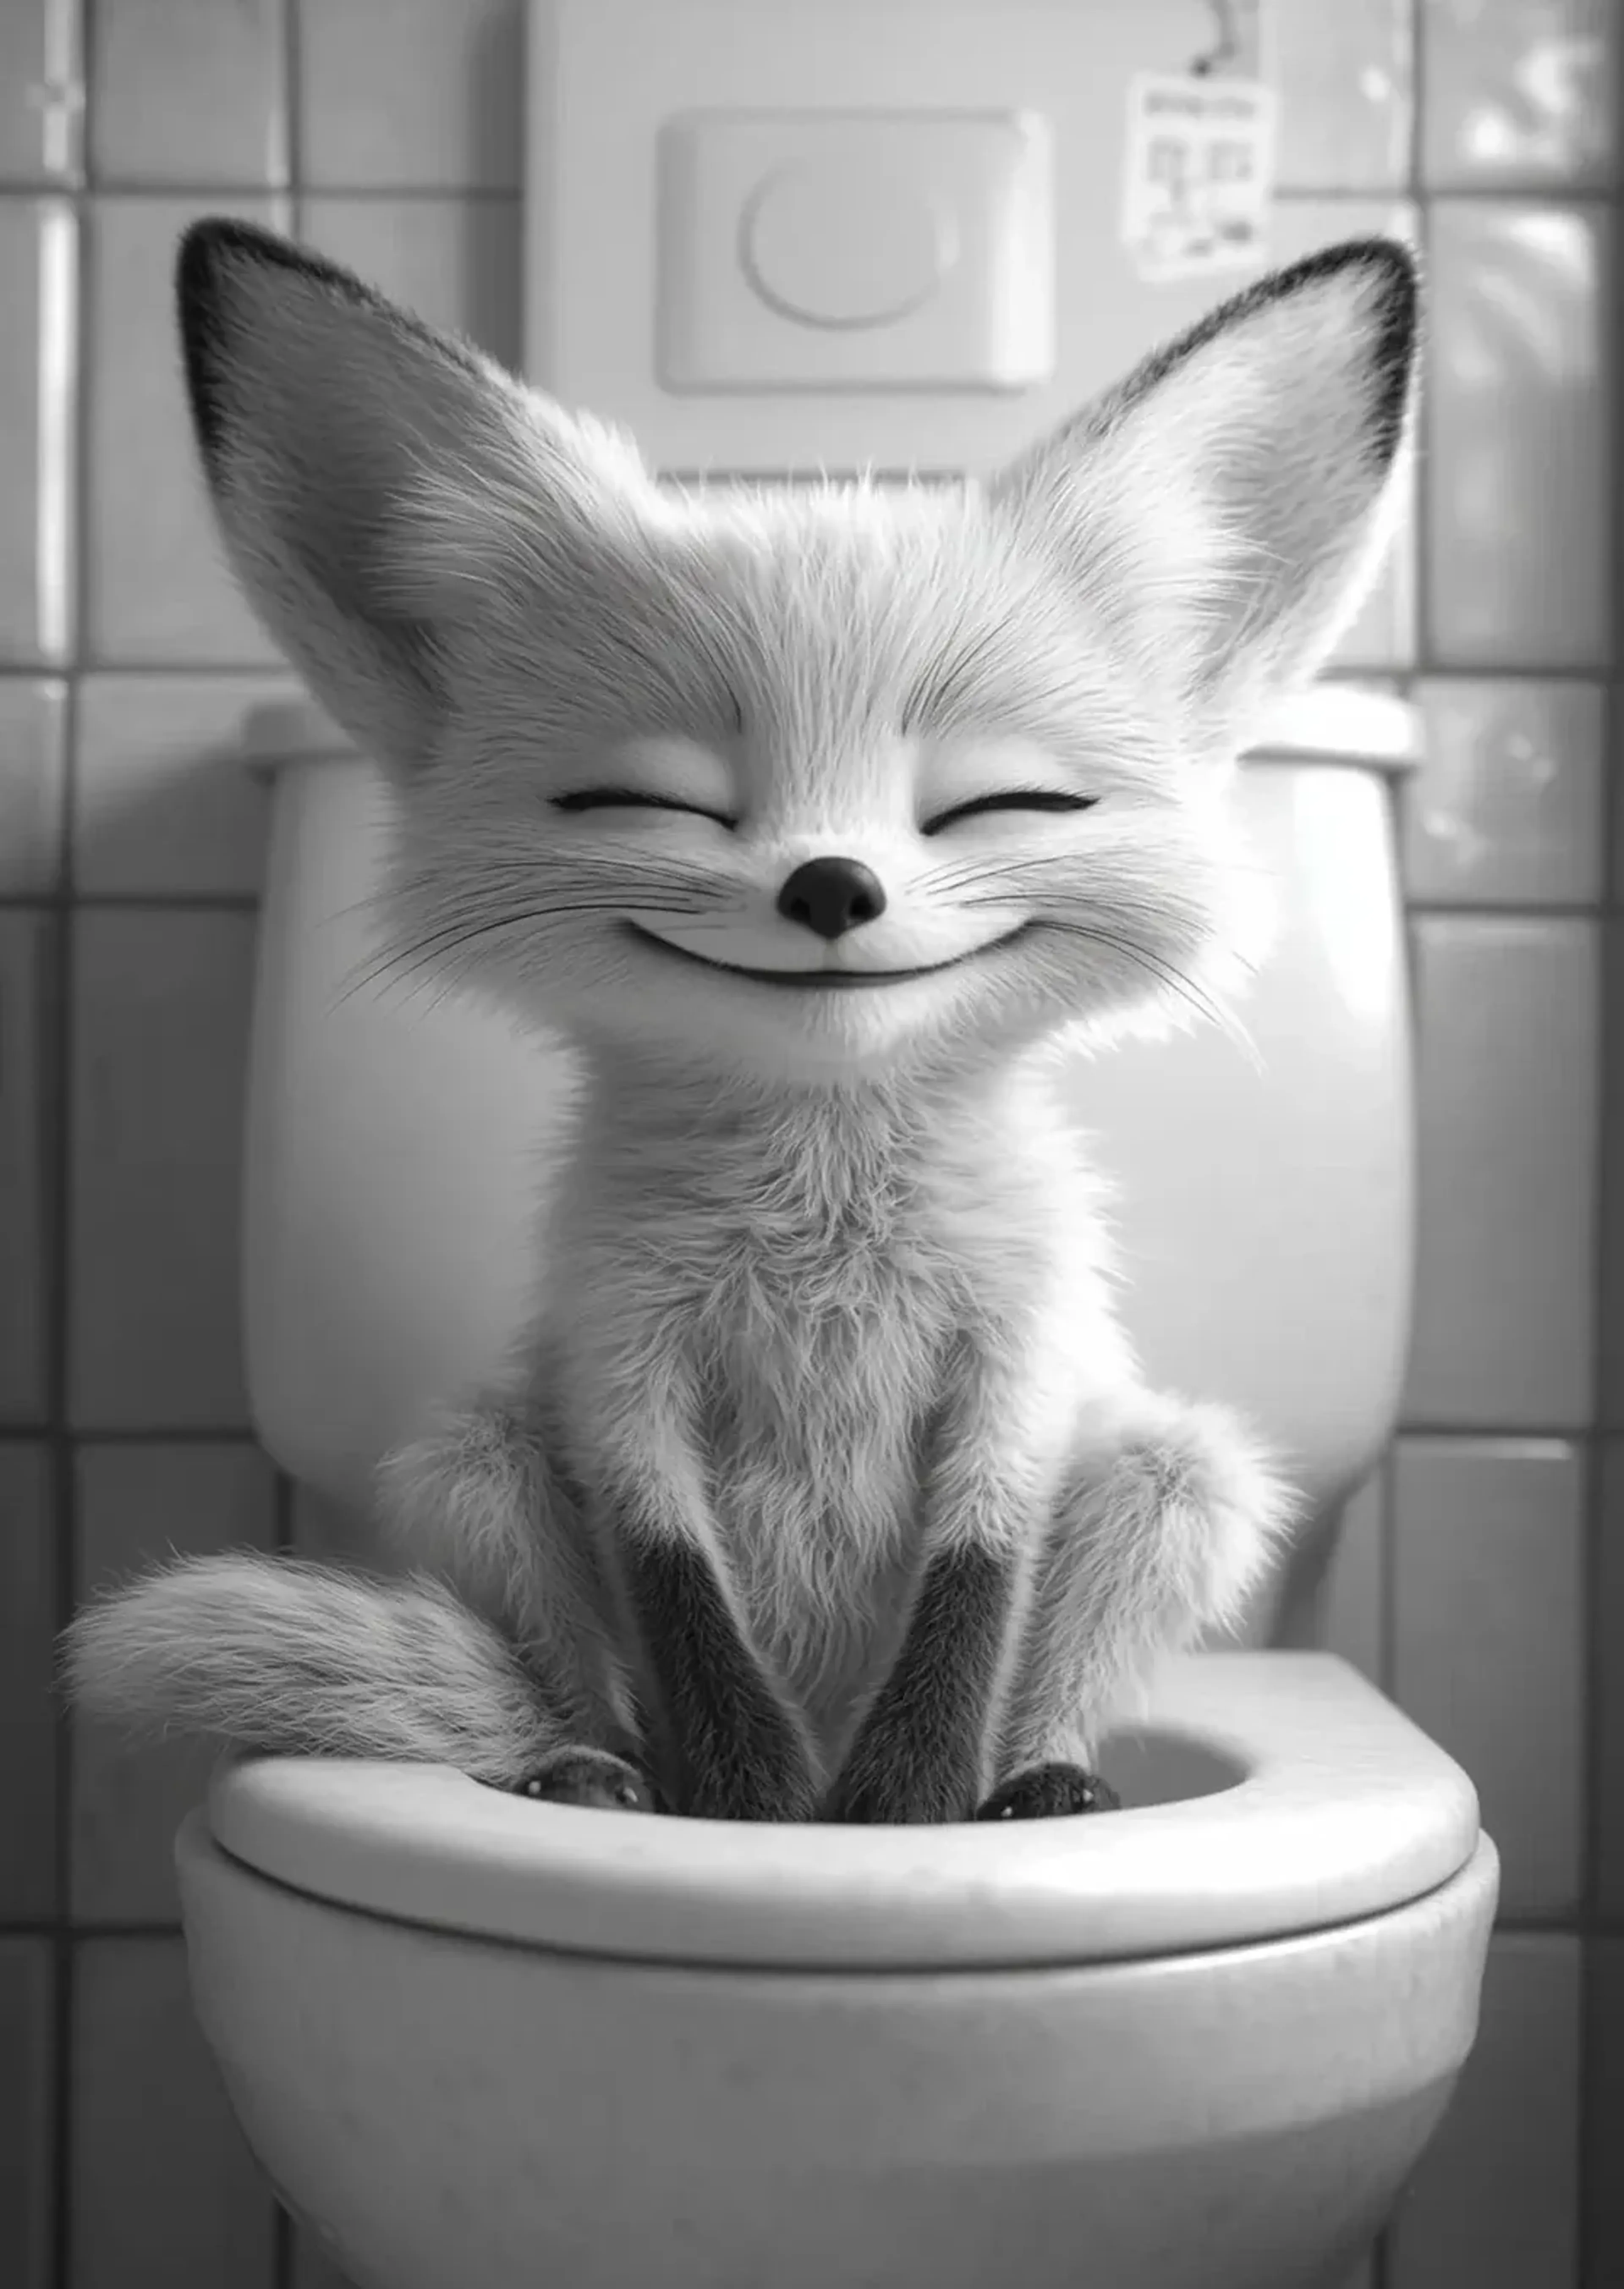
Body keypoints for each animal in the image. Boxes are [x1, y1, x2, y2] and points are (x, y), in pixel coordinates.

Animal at [64, 218, 1416, 1824]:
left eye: (1002, 804)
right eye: (648, 802)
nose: (832, 887)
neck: (823, 1214)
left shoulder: (1016, 1360)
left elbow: (972, 1595)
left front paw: (904, 1814)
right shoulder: (617, 1363)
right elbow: (682, 1606)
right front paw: (750, 1805)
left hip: (1176, 1481)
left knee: (1075, 1653)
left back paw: (1038, 1786)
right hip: (481, 1461)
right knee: (578, 1675)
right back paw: (596, 1776)